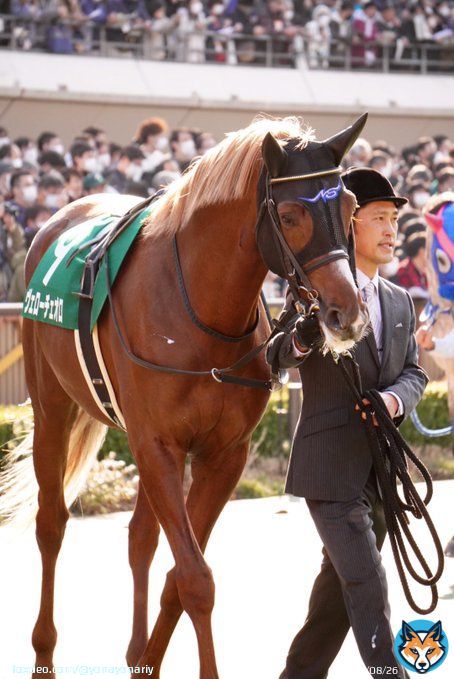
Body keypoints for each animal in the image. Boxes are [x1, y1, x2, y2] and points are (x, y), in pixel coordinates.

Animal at [0, 114, 369, 679]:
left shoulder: (223, 455)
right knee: (51, 523)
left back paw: (135, 650)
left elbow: (178, 574)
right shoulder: (159, 446)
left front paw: (148, 660)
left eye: (349, 206)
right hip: (52, 408)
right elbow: (195, 578)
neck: (198, 309)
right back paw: (44, 650)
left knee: (139, 537)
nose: (345, 313)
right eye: (289, 215)